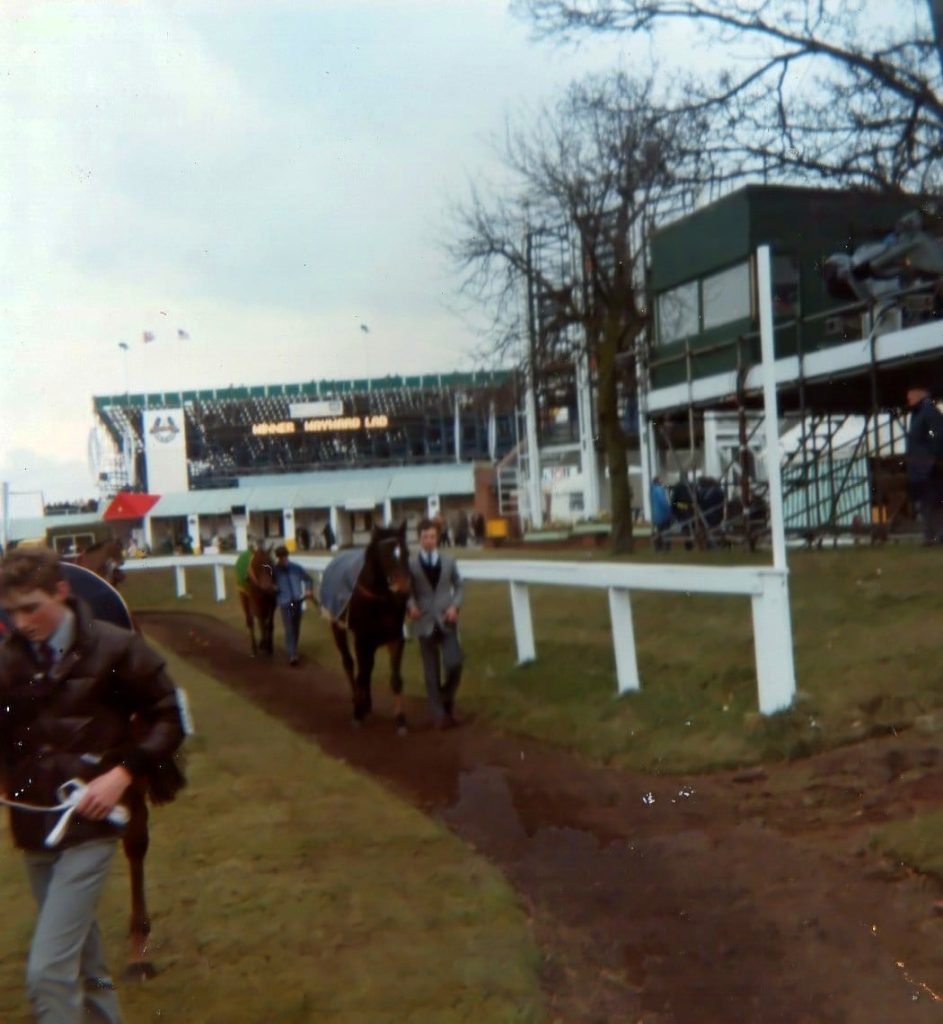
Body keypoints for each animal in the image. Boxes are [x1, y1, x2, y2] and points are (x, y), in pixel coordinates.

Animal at [317, 524, 409, 733]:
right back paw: (357, 701)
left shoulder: (395, 638)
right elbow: (361, 673)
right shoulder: (362, 639)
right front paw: (357, 713)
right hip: (337, 626)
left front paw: (400, 720)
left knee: (367, 667)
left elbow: (395, 679)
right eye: (385, 555)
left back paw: (366, 703)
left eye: (406, 553)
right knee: (350, 663)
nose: (403, 588)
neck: (380, 600)